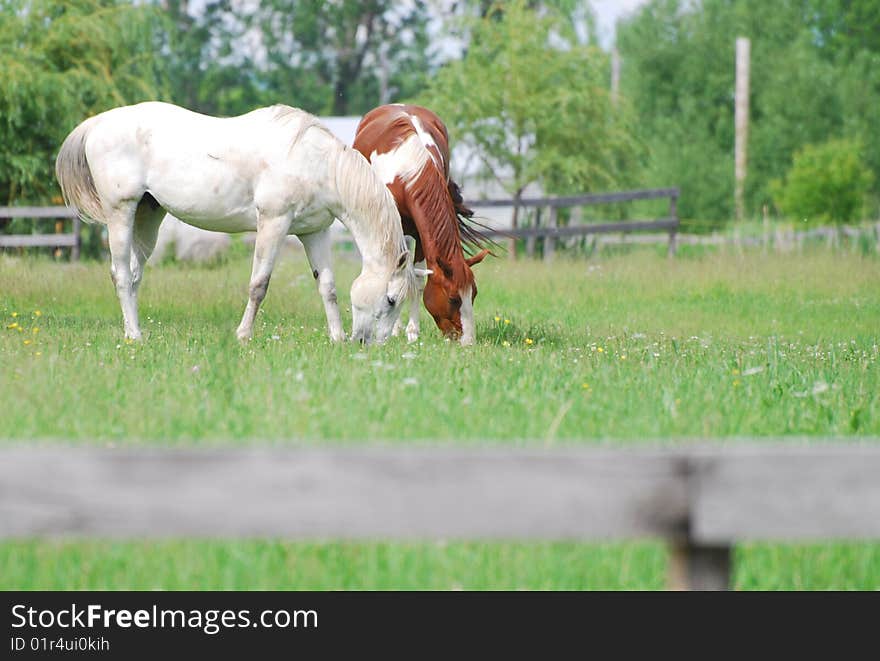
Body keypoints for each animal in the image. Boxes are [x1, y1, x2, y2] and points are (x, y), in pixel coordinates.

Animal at [55, 102, 420, 346]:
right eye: (391, 300)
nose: (370, 344)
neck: (318, 163)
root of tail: (97, 124)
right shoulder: (273, 222)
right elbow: (259, 285)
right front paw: (243, 335)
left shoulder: (313, 232)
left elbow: (327, 287)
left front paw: (337, 337)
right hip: (121, 213)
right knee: (119, 275)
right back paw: (133, 336)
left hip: (147, 217)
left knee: (132, 276)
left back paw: (137, 331)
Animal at [352, 102, 492, 346]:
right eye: (454, 299)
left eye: (473, 294)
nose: (467, 341)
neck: (408, 174)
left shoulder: (420, 233)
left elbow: (415, 281)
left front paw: (412, 331)